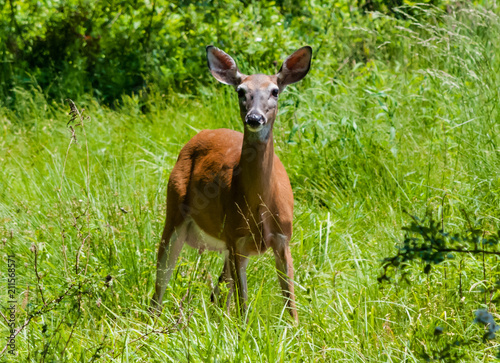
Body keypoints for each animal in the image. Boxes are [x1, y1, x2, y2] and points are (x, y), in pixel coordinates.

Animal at [149, 45, 312, 324]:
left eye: (275, 90)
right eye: (241, 91)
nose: (254, 118)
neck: (260, 204)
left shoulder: (282, 238)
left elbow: (290, 304)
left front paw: (295, 331)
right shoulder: (237, 238)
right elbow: (243, 305)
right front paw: (245, 331)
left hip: (223, 240)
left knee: (217, 294)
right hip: (175, 211)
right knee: (161, 281)